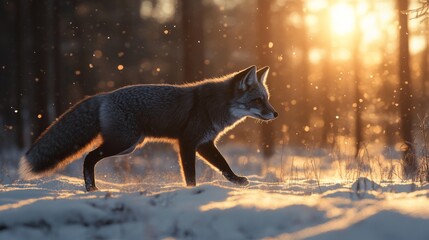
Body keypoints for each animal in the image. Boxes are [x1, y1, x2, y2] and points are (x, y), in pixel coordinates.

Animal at [20, 65, 278, 191]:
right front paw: (191, 191)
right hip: (124, 143)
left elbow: (223, 165)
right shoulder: (187, 142)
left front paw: (237, 181)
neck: (214, 106)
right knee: (88, 158)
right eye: (258, 100)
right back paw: (91, 188)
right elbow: (190, 175)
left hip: (127, 146)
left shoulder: (204, 143)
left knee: (90, 158)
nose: (275, 114)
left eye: (267, 99)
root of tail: (105, 95)